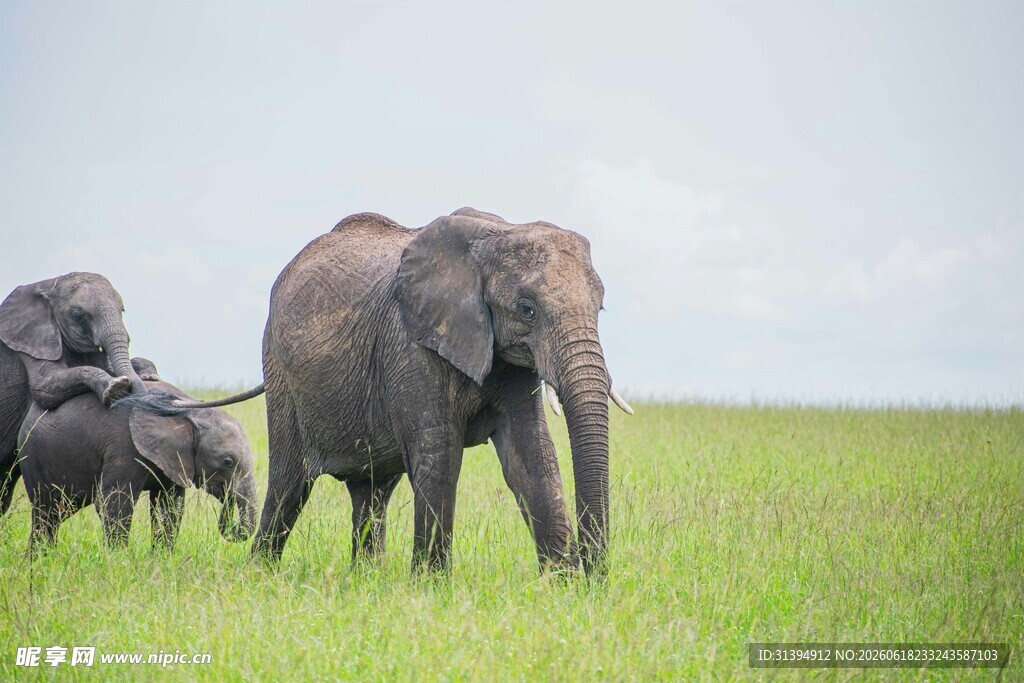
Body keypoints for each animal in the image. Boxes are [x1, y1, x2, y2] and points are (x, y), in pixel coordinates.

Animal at [0, 273, 152, 514]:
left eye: (122, 310)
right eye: (78, 315)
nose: (130, 388)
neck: (49, 286)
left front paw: (146, 373)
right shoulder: (29, 342)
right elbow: (46, 387)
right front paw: (115, 387)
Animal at [14, 379, 257, 552]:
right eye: (228, 462)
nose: (233, 523)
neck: (189, 410)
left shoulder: (174, 461)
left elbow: (169, 505)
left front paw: (161, 558)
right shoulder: (124, 446)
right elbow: (114, 502)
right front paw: (118, 561)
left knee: (56, 513)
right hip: (32, 455)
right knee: (45, 510)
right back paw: (40, 559)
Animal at [154, 208, 632, 575]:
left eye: (601, 307)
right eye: (527, 309)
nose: (594, 573)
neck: (497, 233)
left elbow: (533, 459)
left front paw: (560, 587)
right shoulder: (411, 345)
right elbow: (439, 458)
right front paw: (432, 588)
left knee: (372, 490)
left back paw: (366, 578)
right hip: (282, 372)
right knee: (290, 483)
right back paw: (259, 573)